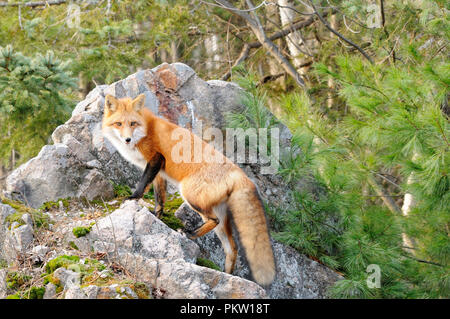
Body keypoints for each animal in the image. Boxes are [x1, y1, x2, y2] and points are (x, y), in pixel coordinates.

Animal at [102, 94, 276, 286]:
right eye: (119, 124)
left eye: (132, 123)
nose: (127, 139)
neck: (146, 130)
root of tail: (241, 175)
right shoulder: (159, 172)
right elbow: (159, 199)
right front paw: (156, 217)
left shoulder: (155, 159)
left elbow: (143, 185)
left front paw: (133, 198)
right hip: (220, 216)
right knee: (232, 247)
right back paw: (228, 276)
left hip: (189, 195)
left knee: (213, 221)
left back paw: (189, 234)